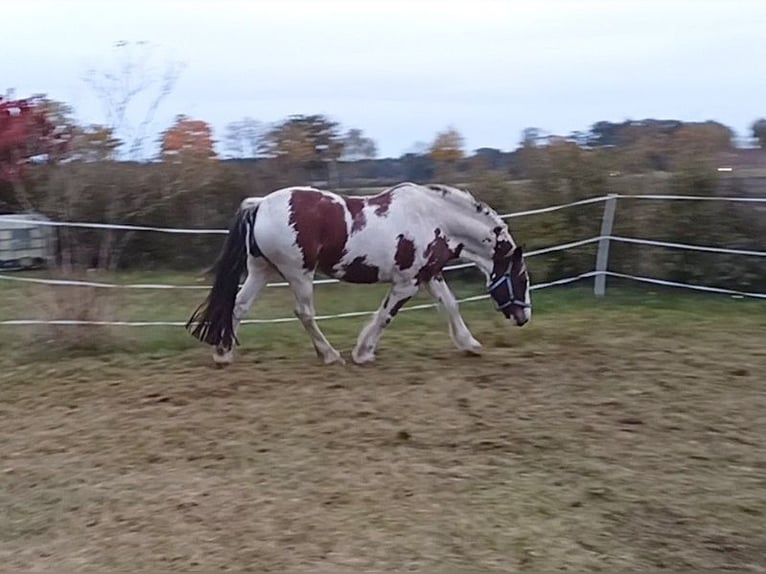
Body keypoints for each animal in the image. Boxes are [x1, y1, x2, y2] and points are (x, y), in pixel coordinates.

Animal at [188, 182, 532, 366]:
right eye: (522, 279)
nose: (524, 317)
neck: (433, 219)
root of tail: (259, 205)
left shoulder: (428, 275)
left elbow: (450, 304)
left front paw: (469, 343)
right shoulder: (406, 283)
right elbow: (385, 315)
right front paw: (363, 352)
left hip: (261, 270)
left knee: (238, 306)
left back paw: (223, 354)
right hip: (298, 273)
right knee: (304, 312)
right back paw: (330, 355)